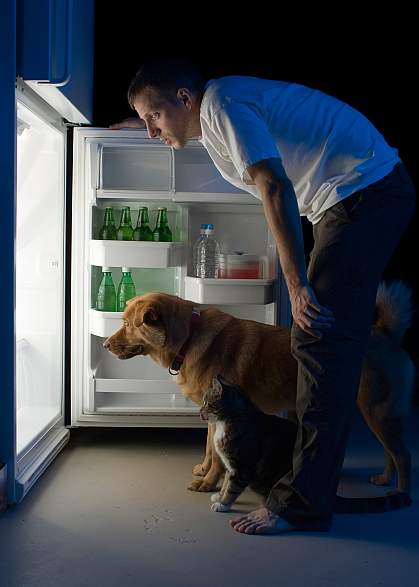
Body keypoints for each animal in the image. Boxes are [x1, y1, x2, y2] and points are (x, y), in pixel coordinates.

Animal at [103, 282, 416, 504]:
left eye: (128, 324)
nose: (105, 345)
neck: (188, 338)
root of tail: (386, 334)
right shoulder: (211, 416)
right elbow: (209, 448)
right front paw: (205, 471)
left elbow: (217, 455)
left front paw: (208, 483)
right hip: (378, 414)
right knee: (390, 451)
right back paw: (384, 479)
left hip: (377, 412)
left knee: (403, 455)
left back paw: (401, 493)